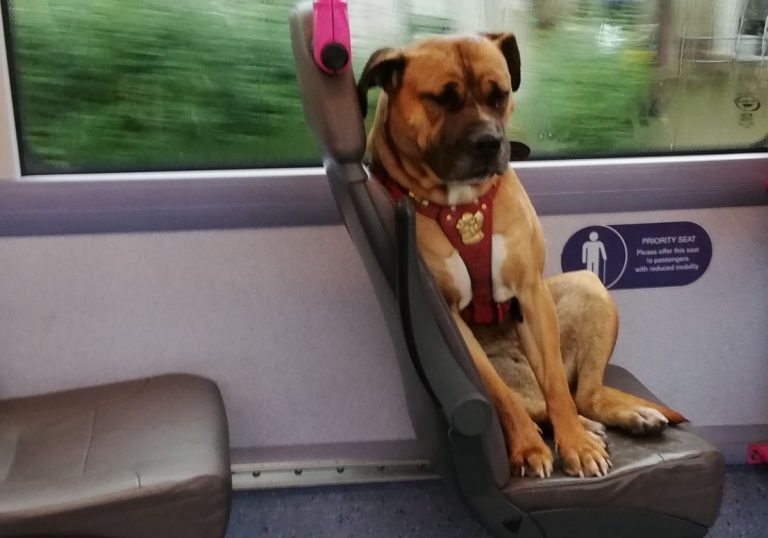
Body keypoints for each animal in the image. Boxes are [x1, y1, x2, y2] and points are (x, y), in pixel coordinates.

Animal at [356, 33, 688, 476]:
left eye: (498, 95)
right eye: (442, 99)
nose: (489, 142)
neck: (464, 205)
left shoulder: (532, 295)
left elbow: (557, 388)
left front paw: (575, 444)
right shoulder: (450, 317)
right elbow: (501, 396)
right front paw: (530, 447)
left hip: (587, 286)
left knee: (579, 393)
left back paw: (617, 419)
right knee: (542, 403)